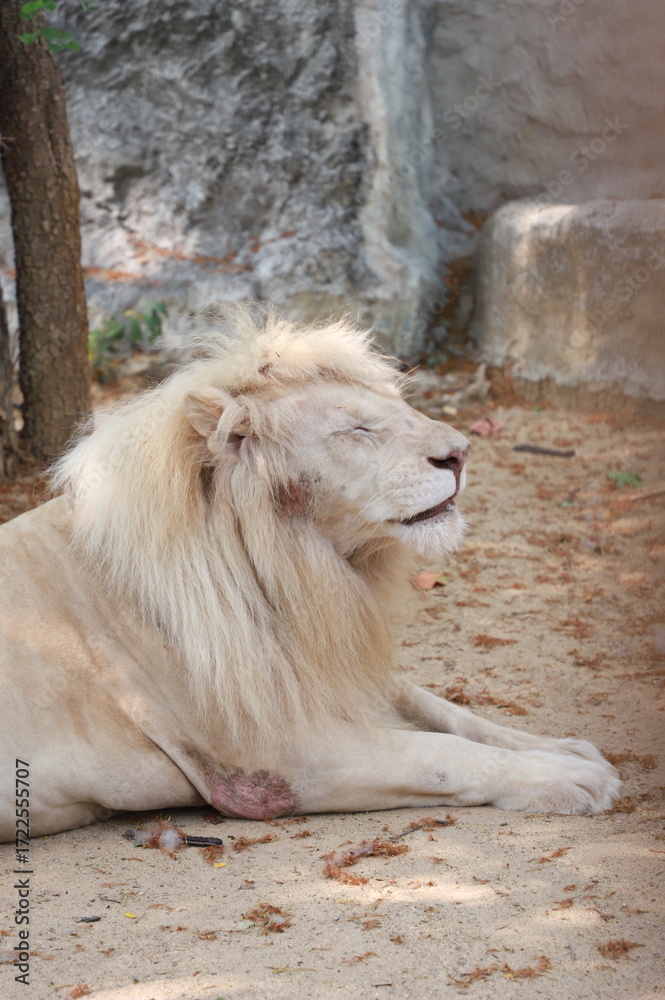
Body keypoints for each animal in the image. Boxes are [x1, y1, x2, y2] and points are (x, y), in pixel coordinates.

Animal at [0, 309, 619, 840]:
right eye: (358, 430)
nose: (462, 453)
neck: (294, 573)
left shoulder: (331, 668)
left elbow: (452, 714)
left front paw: (563, 749)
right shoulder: (281, 762)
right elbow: (444, 755)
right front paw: (569, 778)